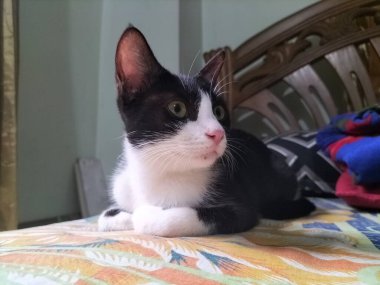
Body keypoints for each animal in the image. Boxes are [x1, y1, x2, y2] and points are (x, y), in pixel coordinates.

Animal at [98, 26, 314, 235]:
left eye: (218, 111)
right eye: (177, 108)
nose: (218, 133)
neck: (161, 170)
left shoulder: (242, 208)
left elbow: (165, 219)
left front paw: (145, 213)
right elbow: (104, 216)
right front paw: (125, 216)